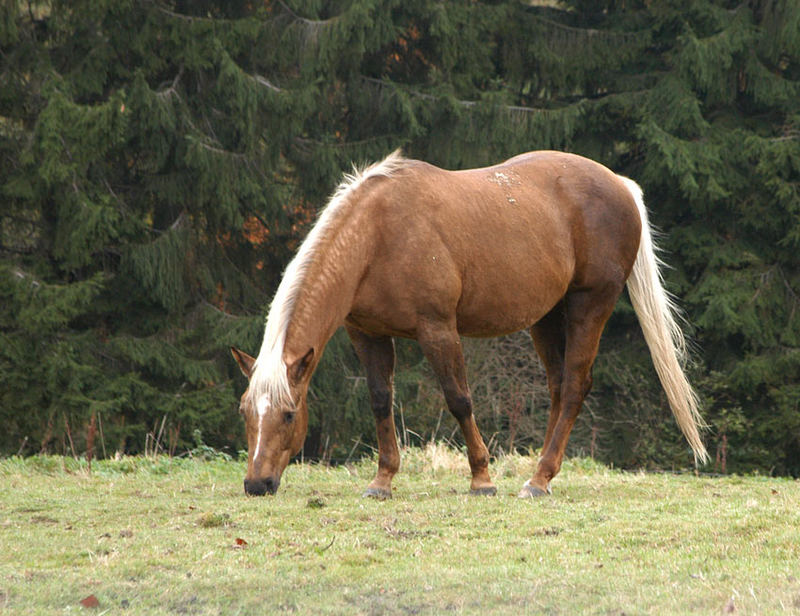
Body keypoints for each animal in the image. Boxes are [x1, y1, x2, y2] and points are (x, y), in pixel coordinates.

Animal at [230, 150, 708, 500]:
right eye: (245, 411)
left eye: (289, 414)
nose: (257, 484)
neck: (377, 235)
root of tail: (619, 184)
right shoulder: (366, 334)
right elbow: (381, 400)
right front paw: (382, 481)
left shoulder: (438, 329)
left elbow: (459, 399)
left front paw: (482, 479)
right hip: (545, 317)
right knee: (558, 387)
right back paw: (542, 475)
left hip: (590, 304)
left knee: (574, 385)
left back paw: (538, 481)